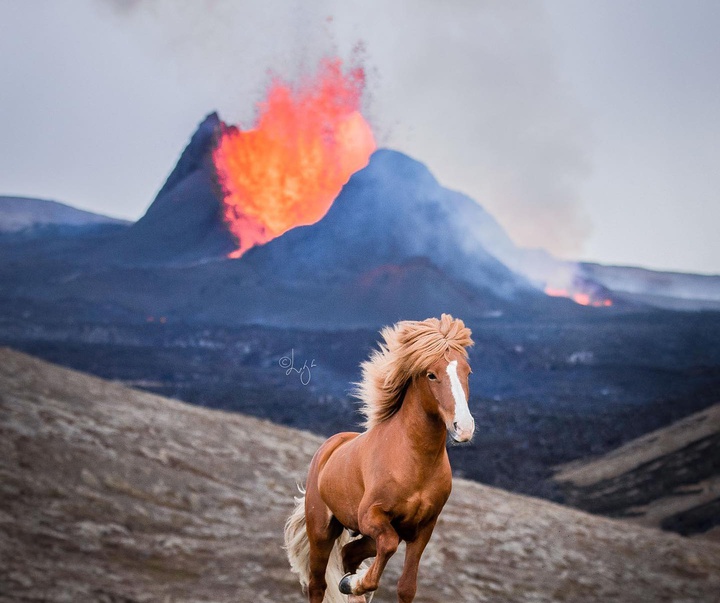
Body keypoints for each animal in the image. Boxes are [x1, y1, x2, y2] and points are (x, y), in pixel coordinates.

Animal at [284, 314, 476, 600]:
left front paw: (354, 584)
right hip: (321, 530)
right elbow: (389, 544)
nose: (463, 427)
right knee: (318, 584)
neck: (413, 461)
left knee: (349, 554)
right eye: (431, 374)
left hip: (367, 536)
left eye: (467, 372)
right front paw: (355, 583)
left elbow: (407, 587)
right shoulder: (371, 517)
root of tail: (329, 447)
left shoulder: (422, 529)